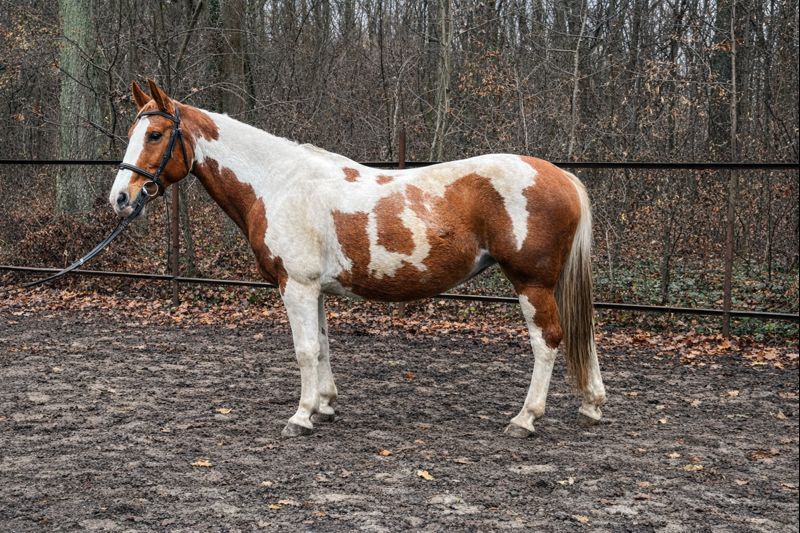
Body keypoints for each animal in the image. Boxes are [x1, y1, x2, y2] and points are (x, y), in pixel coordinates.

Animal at [109, 79, 607, 438]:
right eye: (132, 134)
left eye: (155, 134)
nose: (120, 198)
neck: (279, 182)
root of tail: (560, 176)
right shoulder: (315, 289)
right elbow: (323, 345)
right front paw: (325, 406)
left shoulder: (296, 286)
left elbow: (305, 351)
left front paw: (301, 417)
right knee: (581, 334)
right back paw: (591, 406)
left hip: (531, 283)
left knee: (548, 341)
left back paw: (525, 419)